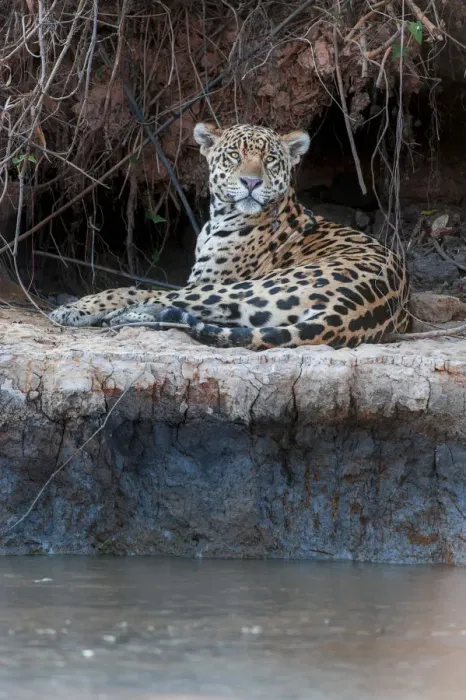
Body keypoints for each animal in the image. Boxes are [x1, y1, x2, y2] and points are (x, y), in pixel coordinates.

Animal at [49, 122, 410, 351]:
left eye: (269, 160)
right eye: (234, 155)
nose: (251, 182)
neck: (223, 216)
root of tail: (350, 312)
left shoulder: (208, 280)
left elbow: (142, 289)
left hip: (246, 287)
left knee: (155, 297)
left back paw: (90, 311)